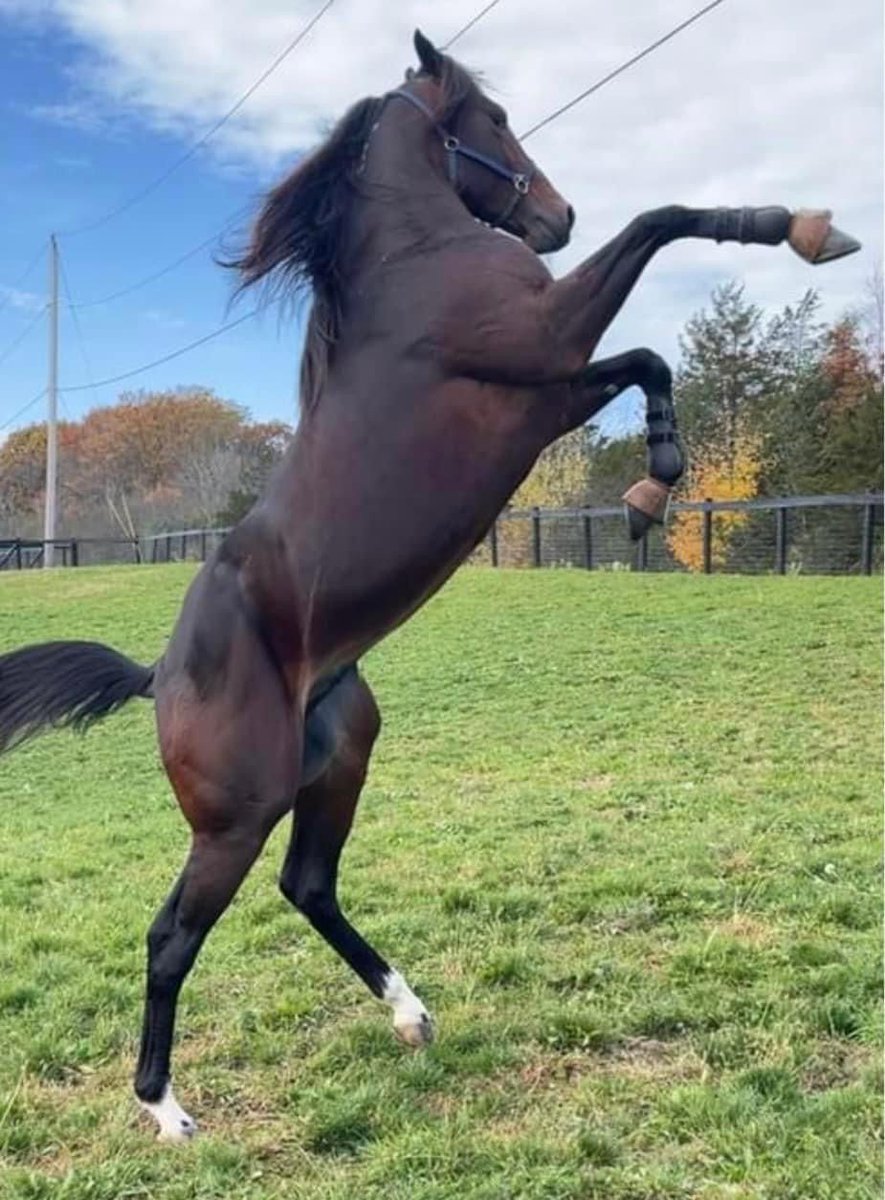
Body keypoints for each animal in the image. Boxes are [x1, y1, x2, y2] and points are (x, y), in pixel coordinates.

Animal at [0, 30, 859, 1141]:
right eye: (492, 117)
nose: (555, 218)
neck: (413, 267)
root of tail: (161, 673)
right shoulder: (543, 346)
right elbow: (657, 230)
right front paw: (800, 232)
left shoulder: (545, 392)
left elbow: (647, 356)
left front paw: (649, 484)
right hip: (235, 815)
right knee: (171, 937)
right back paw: (166, 1110)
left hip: (338, 760)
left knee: (308, 885)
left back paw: (410, 1015)